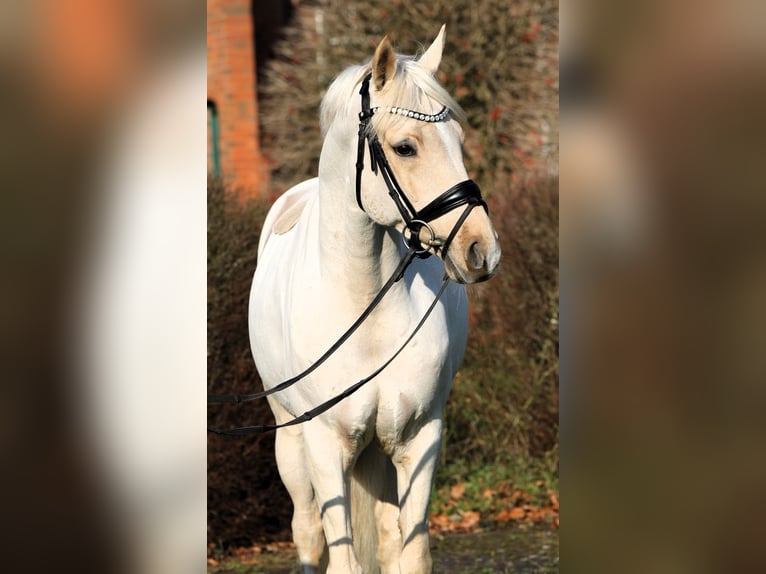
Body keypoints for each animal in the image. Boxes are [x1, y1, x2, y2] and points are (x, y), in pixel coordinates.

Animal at [250, 24, 504, 572]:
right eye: (405, 147)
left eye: (459, 140)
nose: (482, 250)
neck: (363, 306)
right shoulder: (325, 447)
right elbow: (342, 557)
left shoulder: (419, 438)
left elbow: (410, 552)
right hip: (290, 439)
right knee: (308, 533)